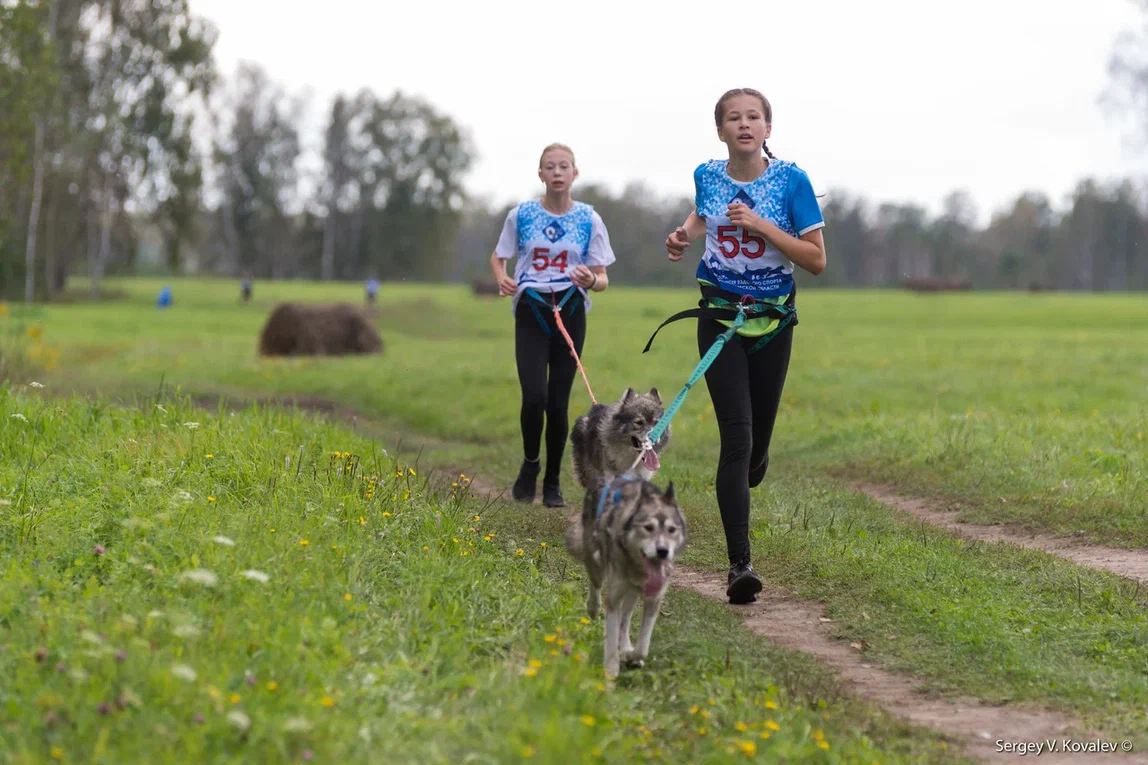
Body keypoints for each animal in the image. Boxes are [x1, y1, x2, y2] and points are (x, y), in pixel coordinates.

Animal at [562, 473, 684, 675]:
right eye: (648, 527)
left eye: (671, 530)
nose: (662, 551)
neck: (637, 566)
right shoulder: (614, 596)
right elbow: (611, 633)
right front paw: (611, 670)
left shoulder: (654, 598)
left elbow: (642, 647)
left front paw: (631, 655)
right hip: (596, 563)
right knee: (596, 586)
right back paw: (593, 607)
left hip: (633, 592)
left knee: (625, 619)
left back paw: (626, 646)